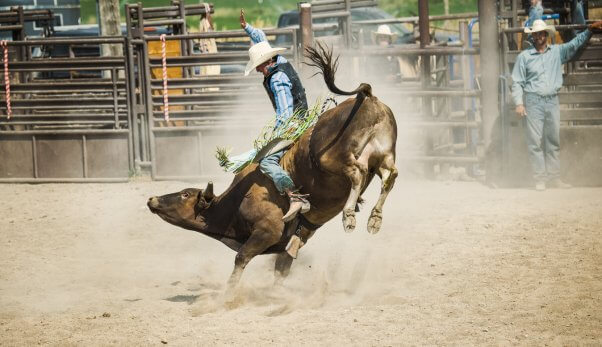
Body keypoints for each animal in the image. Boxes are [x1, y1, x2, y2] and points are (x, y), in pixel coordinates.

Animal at [148, 42, 396, 288]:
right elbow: (281, 271)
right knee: (389, 176)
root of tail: (368, 98)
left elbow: (241, 258)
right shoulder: (292, 242)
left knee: (358, 173)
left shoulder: (267, 231)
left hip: (333, 159)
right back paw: (374, 219)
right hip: (384, 154)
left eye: (185, 194)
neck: (236, 201)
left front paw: (229, 293)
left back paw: (349, 216)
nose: (152, 199)